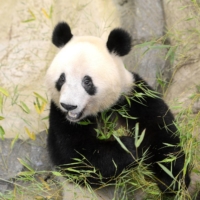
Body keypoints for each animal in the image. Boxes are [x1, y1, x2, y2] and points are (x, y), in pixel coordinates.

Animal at [45, 21, 191, 195]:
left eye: (87, 81)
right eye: (62, 79)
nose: (69, 106)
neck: (101, 110)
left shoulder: (133, 97)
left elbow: (163, 135)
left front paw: (173, 182)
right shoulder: (59, 116)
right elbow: (77, 157)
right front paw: (129, 147)